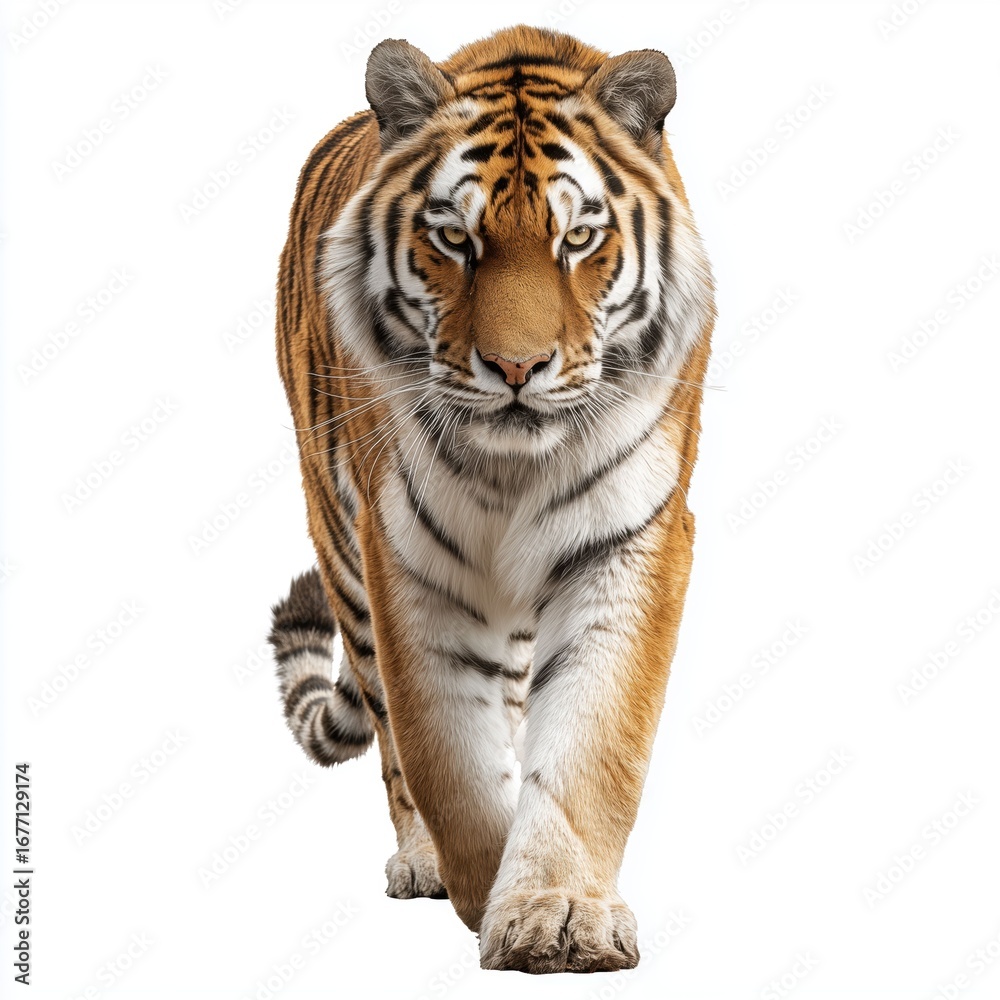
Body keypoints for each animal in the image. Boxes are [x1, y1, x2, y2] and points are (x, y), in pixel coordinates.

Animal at [268, 24, 715, 974]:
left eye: (577, 238)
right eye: (454, 238)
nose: (516, 368)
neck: (516, 470)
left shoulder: (630, 542)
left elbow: (589, 742)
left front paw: (558, 912)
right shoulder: (403, 555)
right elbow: (443, 752)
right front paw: (485, 891)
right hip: (340, 548)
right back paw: (422, 861)